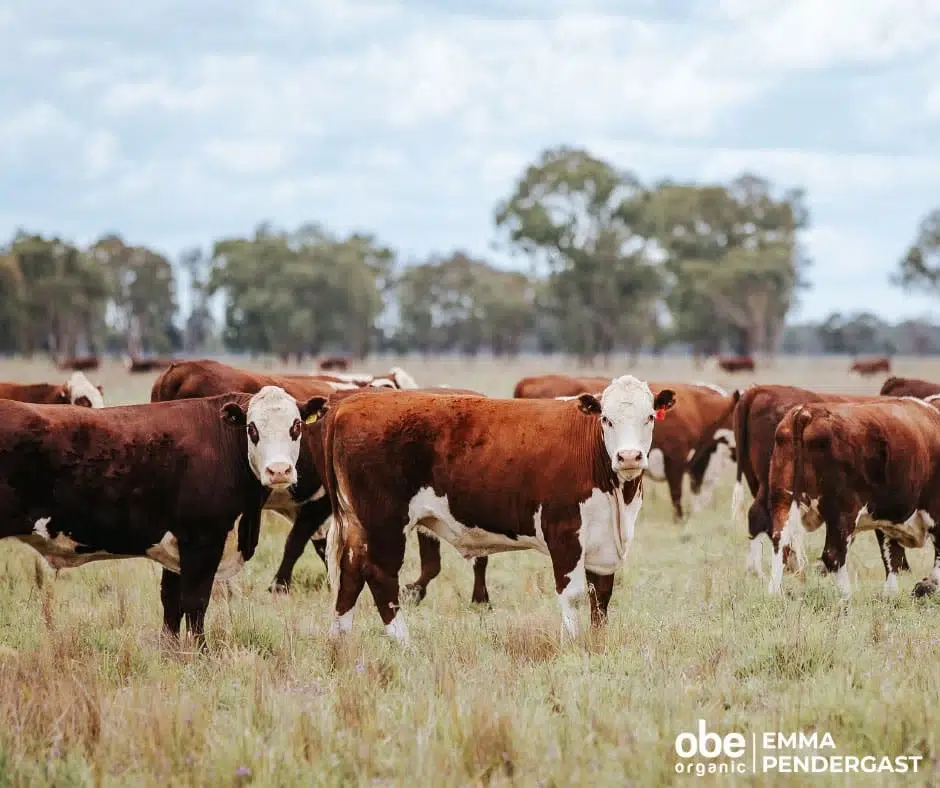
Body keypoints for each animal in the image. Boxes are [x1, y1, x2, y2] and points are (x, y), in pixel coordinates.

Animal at [0, 387, 324, 646]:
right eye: (252, 429)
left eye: (296, 426)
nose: (279, 470)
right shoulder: (202, 541)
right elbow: (195, 604)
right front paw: (201, 654)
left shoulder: (177, 548)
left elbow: (171, 604)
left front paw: (171, 651)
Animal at [322, 376, 677, 644]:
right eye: (607, 419)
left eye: (648, 417)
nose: (628, 457)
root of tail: (350, 404)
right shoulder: (564, 531)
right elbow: (574, 593)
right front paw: (573, 644)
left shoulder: (602, 541)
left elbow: (601, 596)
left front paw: (599, 643)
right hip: (385, 522)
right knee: (380, 575)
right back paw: (403, 642)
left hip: (359, 524)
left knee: (351, 573)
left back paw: (339, 640)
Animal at [767, 397, 940, 599]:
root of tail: (807, 411)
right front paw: (926, 586)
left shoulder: (887, 519)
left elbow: (892, 559)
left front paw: (891, 596)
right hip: (843, 511)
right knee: (833, 554)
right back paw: (846, 597)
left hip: (783, 499)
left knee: (781, 543)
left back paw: (774, 593)